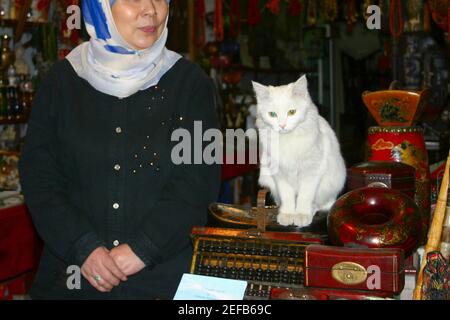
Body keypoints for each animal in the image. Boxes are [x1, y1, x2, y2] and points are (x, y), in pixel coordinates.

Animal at [253, 75, 344, 228]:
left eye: (292, 112)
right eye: (272, 114)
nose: (282, 125)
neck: (288, 139)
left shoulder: (311, 171)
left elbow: (305, 196)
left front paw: (301, 214)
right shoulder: (279, 174)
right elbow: (287, 196)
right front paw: (288, 214)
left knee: (323, 203)